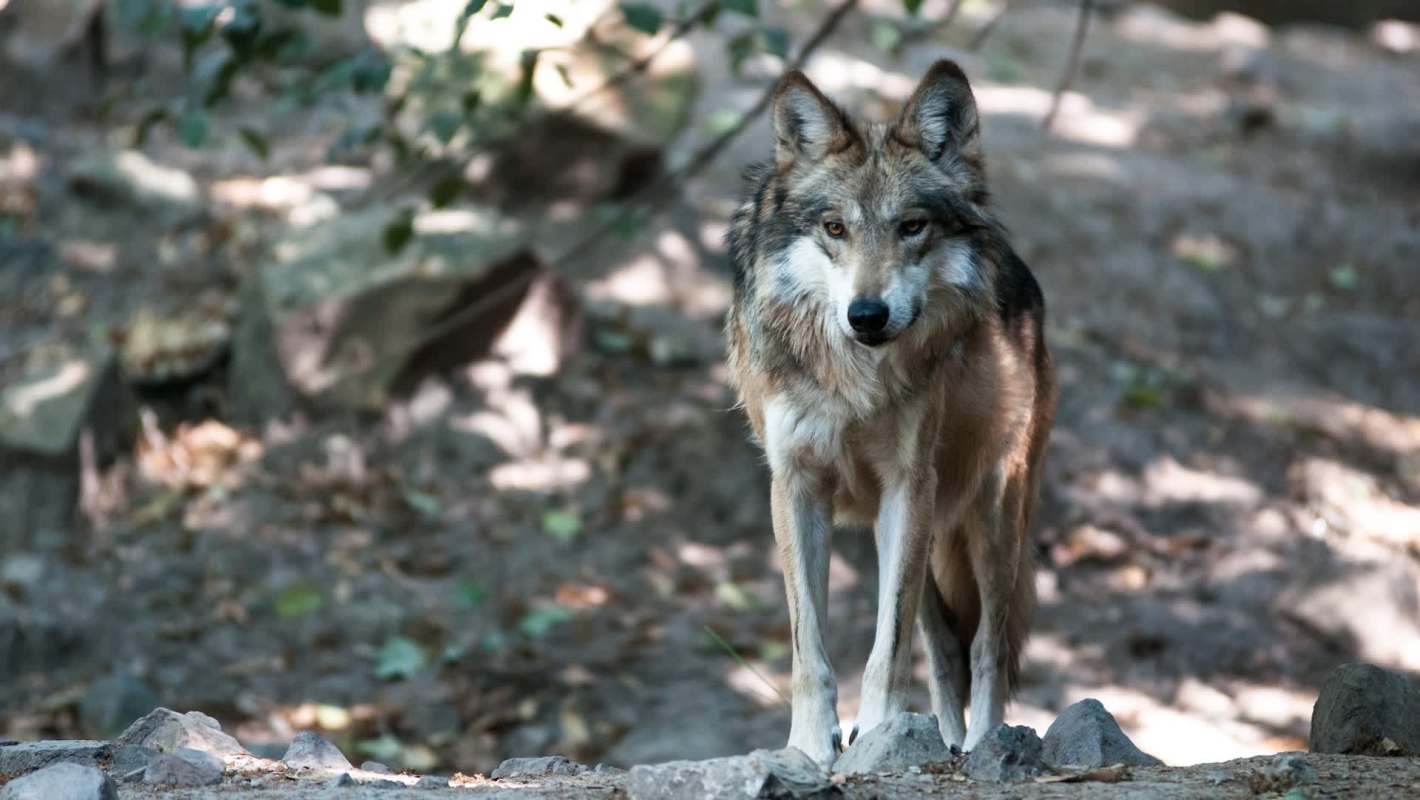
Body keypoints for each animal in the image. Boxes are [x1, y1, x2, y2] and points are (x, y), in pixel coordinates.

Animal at [724, 60, 1055, 767]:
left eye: (912, 226)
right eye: (835, 229)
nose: (867, 315)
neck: (854, 380)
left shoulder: (908, 486)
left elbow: (887, 642)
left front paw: (875, 732)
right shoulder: (795, 488)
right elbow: (809, 645)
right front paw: (812, 745)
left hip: (990, 516)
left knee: (986, 646)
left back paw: (982, 745)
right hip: (928, 535)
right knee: (944, 651)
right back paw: (947, 741)